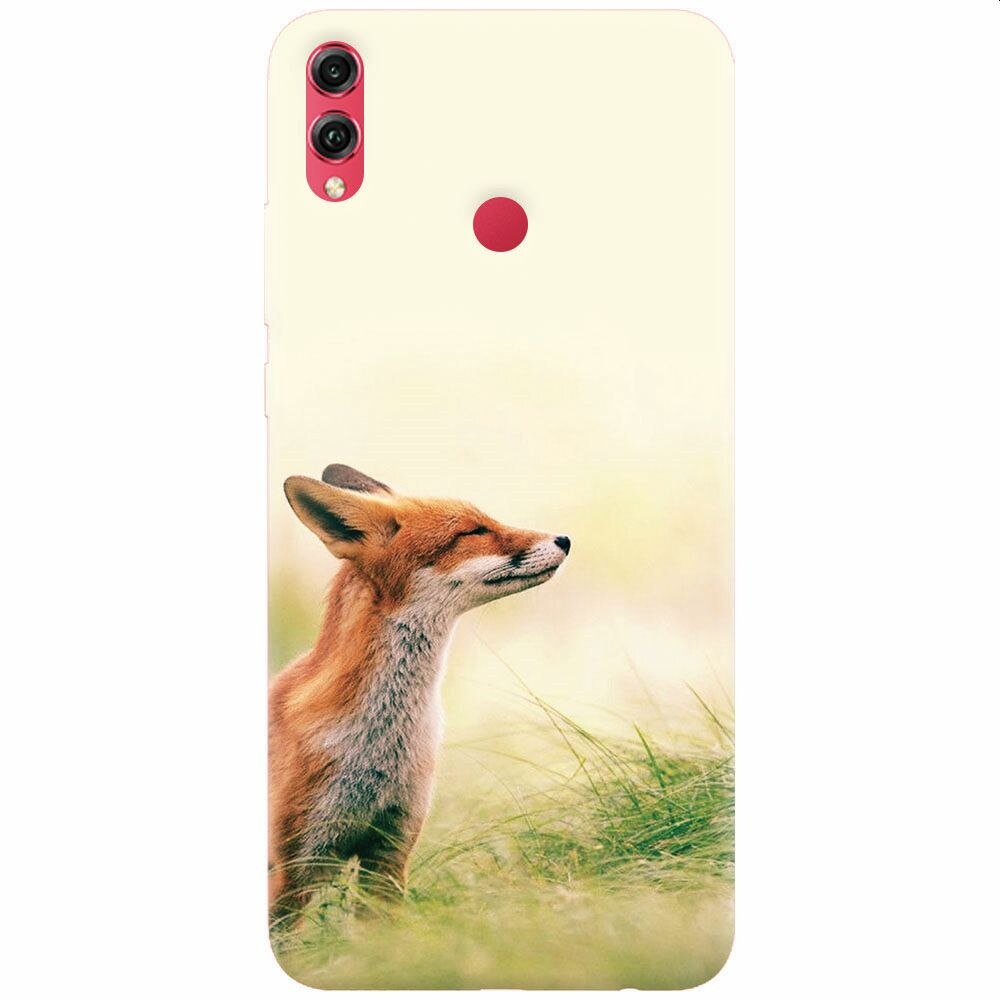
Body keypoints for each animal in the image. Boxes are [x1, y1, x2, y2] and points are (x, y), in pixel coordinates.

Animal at [269, 463, 570, 925]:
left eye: (487, 520)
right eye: (473, 531)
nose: (565, 540)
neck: (380, 746)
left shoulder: (390, 852)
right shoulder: (293, 868)